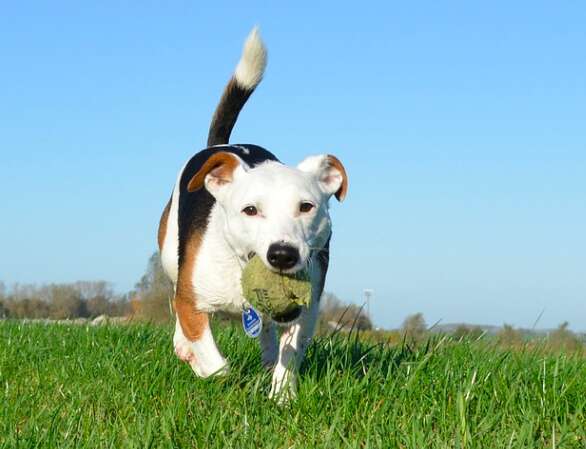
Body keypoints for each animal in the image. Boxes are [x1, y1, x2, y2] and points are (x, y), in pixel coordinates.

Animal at [156, 28, 346, 400]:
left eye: (306, 207)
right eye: (250, 210)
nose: (283, 253)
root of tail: (221, 146)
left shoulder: (307, 309)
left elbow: (291, 351)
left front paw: (282, 396)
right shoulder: (191, 299)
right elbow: (214, 362)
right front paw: (212, 372)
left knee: (270, 333)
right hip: (171, 254)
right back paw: (184, 347)